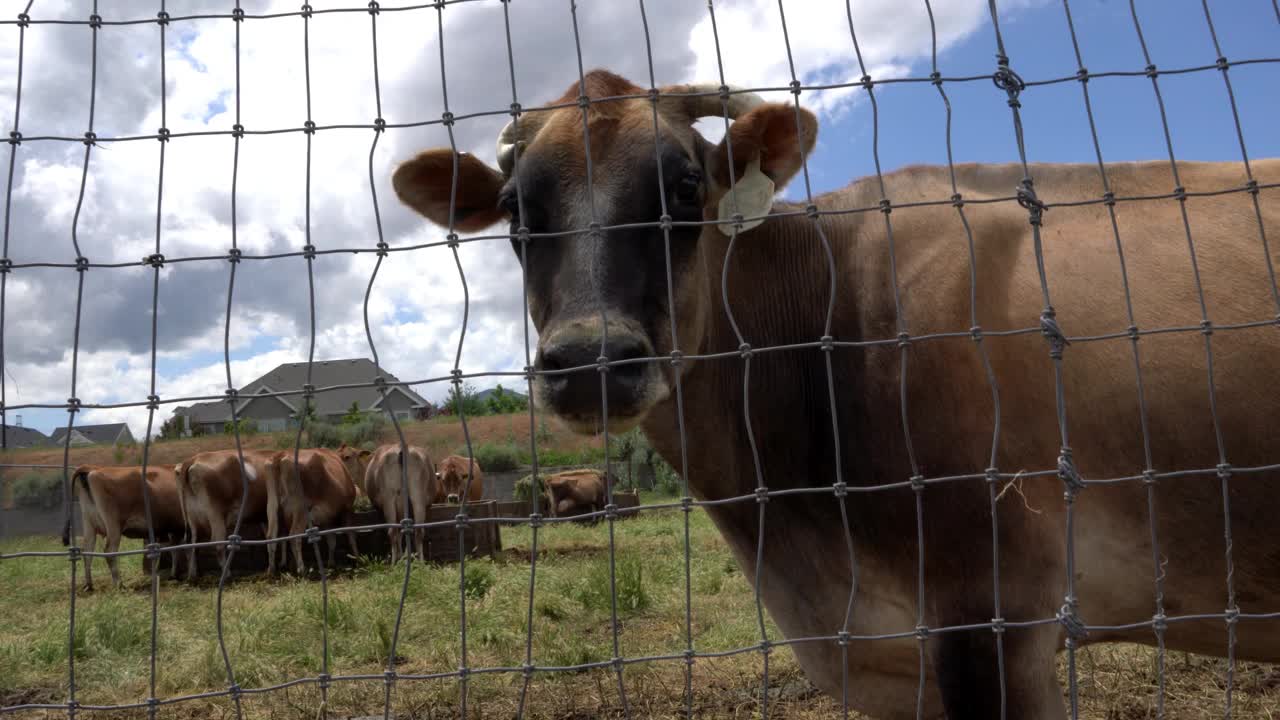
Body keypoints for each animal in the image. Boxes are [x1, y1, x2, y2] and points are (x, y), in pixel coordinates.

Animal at [60, 461, 186, 591]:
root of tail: (94, 468)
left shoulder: (173, 528)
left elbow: (172, 548)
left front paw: (171, 575)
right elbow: (177, 547)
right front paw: (175, 575)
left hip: (89, 522)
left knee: (88, 551)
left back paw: (89, 585)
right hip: (113, 525)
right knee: (110, 551)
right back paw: (119, 584)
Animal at [176, 448, 279, 576]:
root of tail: (193, 459)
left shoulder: (263, 517)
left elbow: (268, 539)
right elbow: (272, 539)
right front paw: (272, 569)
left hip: (192, 519)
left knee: (191, 544)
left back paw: (193, 574)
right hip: (215, 514)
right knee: (217, 543)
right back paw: (227, 573)